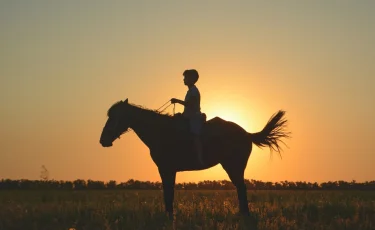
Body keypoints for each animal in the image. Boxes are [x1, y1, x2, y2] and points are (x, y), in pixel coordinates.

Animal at [99, 99, 290, 217]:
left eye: (114, 117)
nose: (103, 140)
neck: (160, 131)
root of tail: (247, 133)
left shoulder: (166, 169)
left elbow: (168, 193)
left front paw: (169, 215)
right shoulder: (168, 170)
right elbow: (168, 192)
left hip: (233, 166)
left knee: (241, 188)